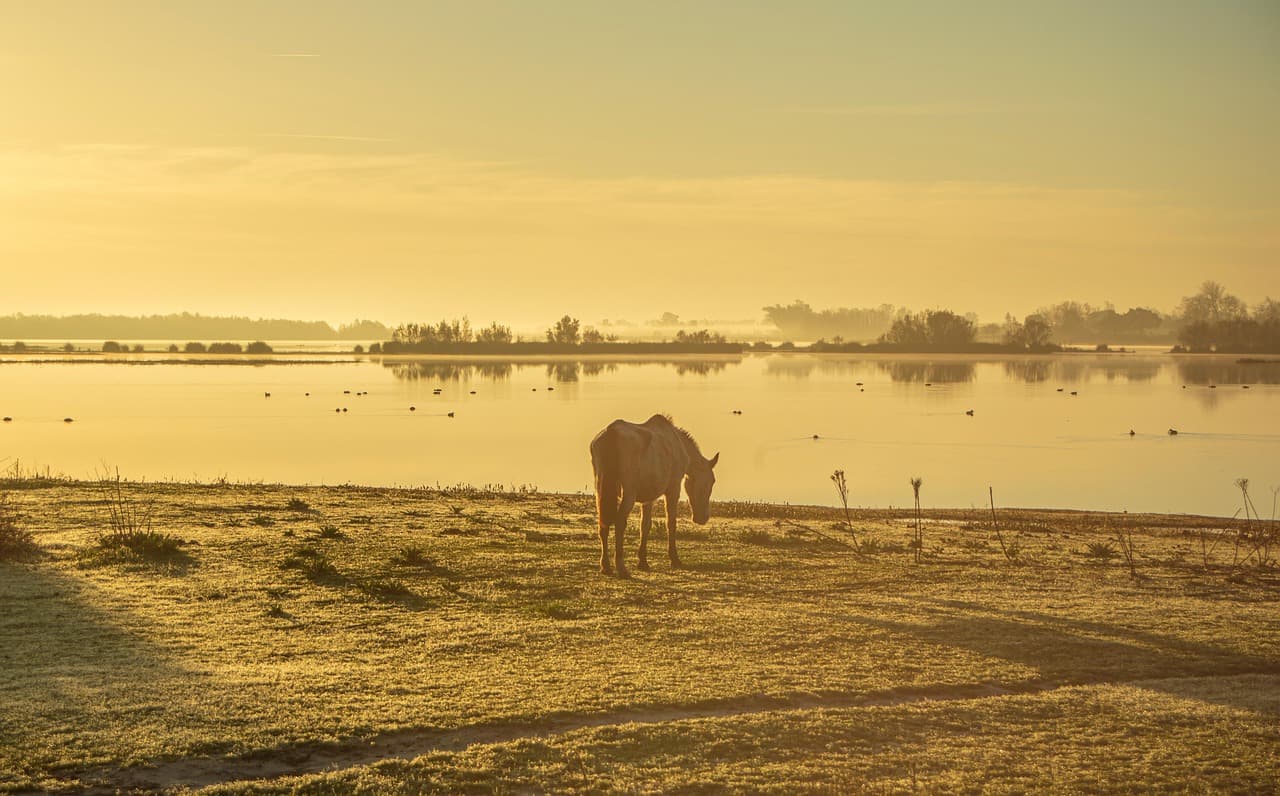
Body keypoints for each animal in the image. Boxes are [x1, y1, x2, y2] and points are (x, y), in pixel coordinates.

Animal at [589, 414, 719, 577]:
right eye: (711, 481)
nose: (703, 518)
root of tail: (611, 432)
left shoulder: (648, 498)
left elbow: (645, 525)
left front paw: (643, 561)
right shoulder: (673, 488)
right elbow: (671, 523)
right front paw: (674, 559)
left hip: (601, 490)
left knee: (603, 524)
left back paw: (605, 566)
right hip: (628, 493)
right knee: (619, 523)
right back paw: (621, 566)